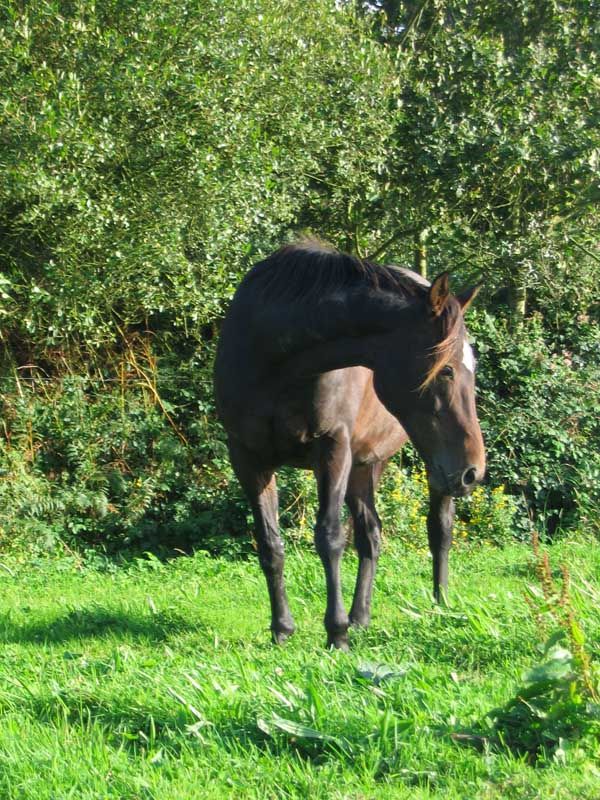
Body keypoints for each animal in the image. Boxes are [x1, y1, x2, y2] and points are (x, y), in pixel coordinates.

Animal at [214, 239, 485, 649]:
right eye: (448, 369)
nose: (475, 471)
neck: (273, 360)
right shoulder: (247, 458)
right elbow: (269, 544)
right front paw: (282, 628)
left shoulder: (332, 449)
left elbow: (329, 537)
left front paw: (335, 631)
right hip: (366, 465)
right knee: (370, 534)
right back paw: (361, 617)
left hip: (428, 467)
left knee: (439, 528)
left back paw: (439, 603)